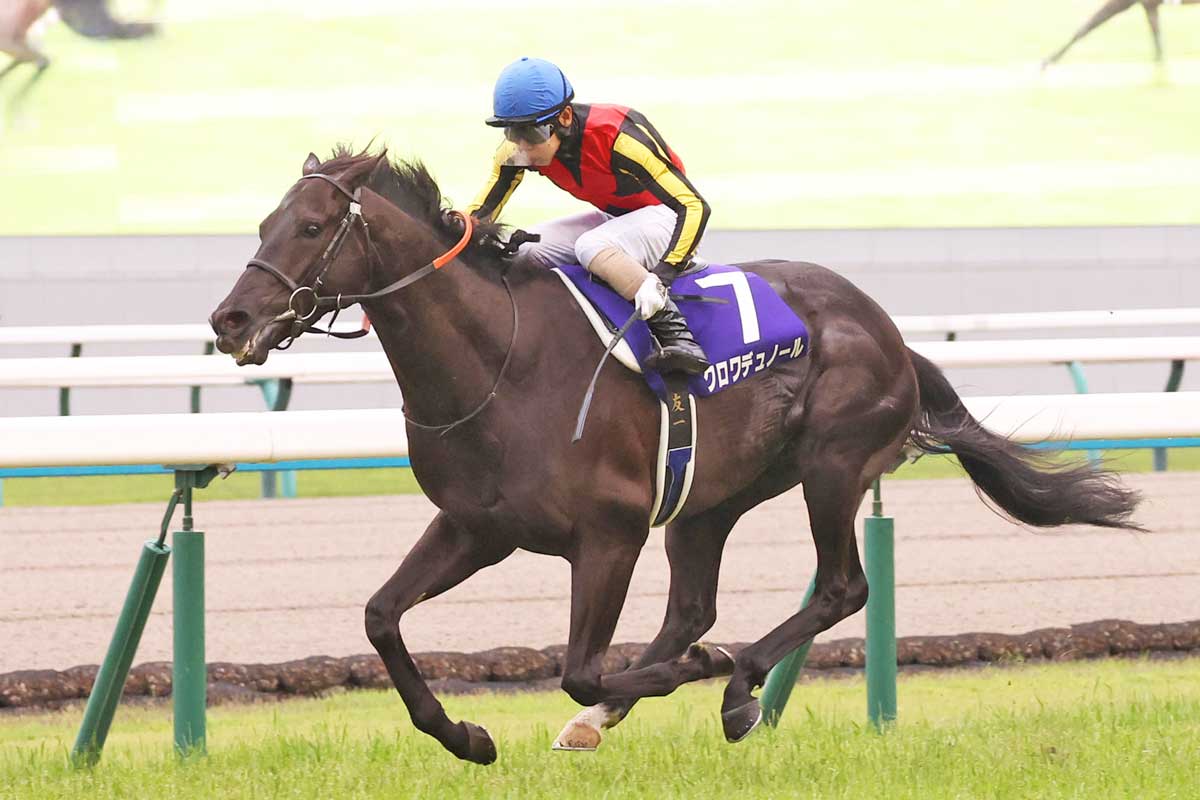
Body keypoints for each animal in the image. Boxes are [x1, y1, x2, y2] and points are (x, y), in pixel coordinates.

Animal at [209, 147, 1142, 764]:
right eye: (263, 223)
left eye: (313, 226)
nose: (230, 319)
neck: (500, 361)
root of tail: (886, 328)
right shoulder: (477, 526)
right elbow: (381, 616)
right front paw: (466, 735)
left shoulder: (608, 535)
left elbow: (581, 669)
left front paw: (696, 675)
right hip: (711, 497)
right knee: (693, 605)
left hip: (833, 464)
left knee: (841, 587)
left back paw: (734, 684)